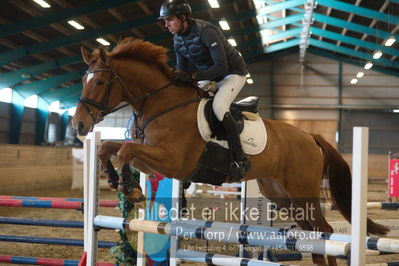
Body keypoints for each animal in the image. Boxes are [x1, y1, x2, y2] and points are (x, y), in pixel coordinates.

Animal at [72, 38, 388, 264]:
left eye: (100, 81)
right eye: (84, 80)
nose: (79, 124)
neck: (160, 104)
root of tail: (310, 136)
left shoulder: (172, 161)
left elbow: (125, 150)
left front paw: (130, 188)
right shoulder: (151, 161)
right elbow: (110, 147)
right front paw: (115, 180)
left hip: (302, 189)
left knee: (326, 232)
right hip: (281, 195)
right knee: (312, 234)